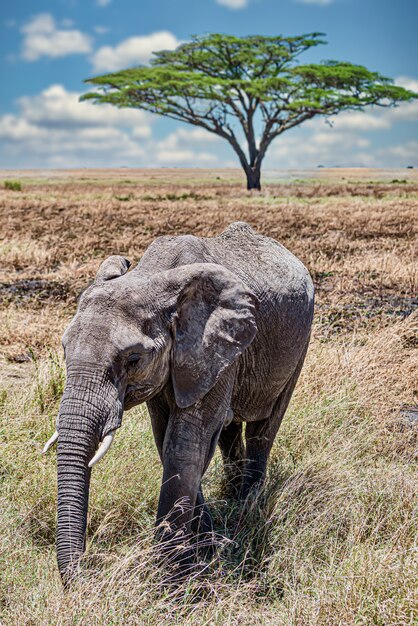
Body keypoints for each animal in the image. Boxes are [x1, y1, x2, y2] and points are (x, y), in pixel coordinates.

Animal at [45, 221, 314, 580]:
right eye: (64, 349)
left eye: (133, 360)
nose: (86, 575)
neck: (152, 279)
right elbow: (167, 440)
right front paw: (207, 546)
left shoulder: (209, 345)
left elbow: (184, 443)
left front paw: (172, 576)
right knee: (228, 431)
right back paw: (232, 495)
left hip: (300, 337)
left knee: (264, 427)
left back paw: (248, 505)